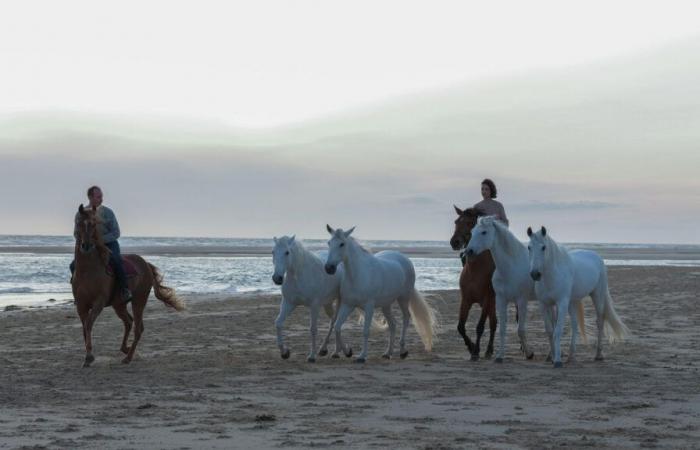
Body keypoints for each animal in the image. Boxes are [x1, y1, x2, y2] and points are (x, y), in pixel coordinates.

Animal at [73, 206, 185, 368]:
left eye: (93, 225)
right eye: (79, 223)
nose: (86, 246)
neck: (88, 271)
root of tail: (146, 264)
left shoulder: (98, 302)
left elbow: (88, 325)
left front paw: (89, 357)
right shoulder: (81, 305)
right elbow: (85, 328)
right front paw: (88, 356)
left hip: (139, 300)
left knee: (138, 328)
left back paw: (128, 357)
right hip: (118, 304)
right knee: (129, 322)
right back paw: (125, 349)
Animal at [324, 225, 438, 362]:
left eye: (342, 244)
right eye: (329, 243)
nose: (329, 268)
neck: (357, 275)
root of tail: (404, 258)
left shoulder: (369, 307)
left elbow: (365, 331)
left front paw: (362, 356)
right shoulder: (348, 305)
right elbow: (337, 327)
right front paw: (348, 352)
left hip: (403, 299)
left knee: (406, 319)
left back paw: (402, 351)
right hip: (386, 305)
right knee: (393, 324)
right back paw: (388, 353)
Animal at [448, 206, 498, 360]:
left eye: (470, 223)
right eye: (456, 221)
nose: (455, 242)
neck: (476, 269)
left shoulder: (487, 299)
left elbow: (480, 326)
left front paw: (476, 351)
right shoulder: (466, 299)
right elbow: (460, 327)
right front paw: (471, 348)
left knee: (494, 324)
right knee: (494, 323)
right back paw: (489, 351)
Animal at [464, 215, 536, 362]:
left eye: (484, 232)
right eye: (472, 232)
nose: (469, 251)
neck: (511, 267)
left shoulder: (522, 301)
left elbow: (520, 329)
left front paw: (529, 354)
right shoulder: (501, 300)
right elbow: (502, 328)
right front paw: (499, 356)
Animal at [524, 227, 628, 368]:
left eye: (543, 247)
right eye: (529, 247)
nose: (535, 274)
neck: (553, 275)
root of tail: (597, 257)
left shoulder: (562, 303)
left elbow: (558, 330)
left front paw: (557, 360)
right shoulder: (544, 304)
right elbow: (550, 330)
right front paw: (551, 357)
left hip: (597, 295)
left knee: (600, 322)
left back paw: (598, 354)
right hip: (573, 301)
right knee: (575, 324)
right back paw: (571, 355)